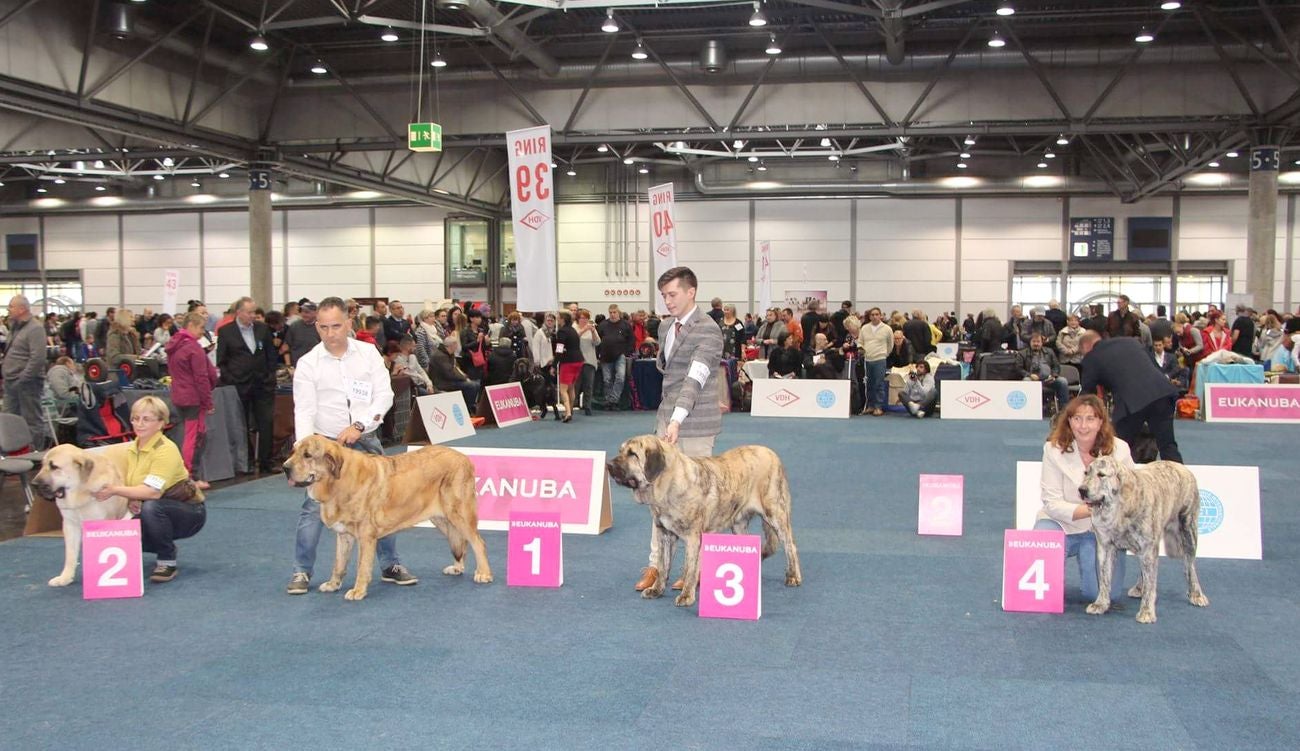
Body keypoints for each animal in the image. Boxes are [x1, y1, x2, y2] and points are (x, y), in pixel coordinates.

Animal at [31, 444, 132, 584]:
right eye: (42, 465)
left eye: (54, 467)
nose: (34, 484)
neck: (80, 491)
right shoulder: (70, 525)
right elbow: (70, 554)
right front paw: (65, 577)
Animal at [284, 436, 491, 600]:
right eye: (293, 451)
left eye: (307, 455)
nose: (285, 467)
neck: (336, 482)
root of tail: (464, 457)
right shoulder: (344, 535)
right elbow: (339, 564)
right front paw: (333, 584)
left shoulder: (366, 536)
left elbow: (362, 567)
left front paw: (358, 591)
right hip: (442, 519)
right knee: (461, 543)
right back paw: (457, 568)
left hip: (458, 513)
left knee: (478, 542)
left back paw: (484, 573)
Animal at [608, 436, 800, 605]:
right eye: (621, 451)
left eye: (633, 454)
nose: (609, 465)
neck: (667, 483)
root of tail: (772, 454)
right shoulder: (665, 534)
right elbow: (663, 566)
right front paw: (657, 590)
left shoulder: (693, 537)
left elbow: (691, 568)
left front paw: (686, 595)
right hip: (738, 523)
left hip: (775, 513)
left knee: (790, 546)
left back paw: (793, 576)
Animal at [1076, 452, 1206, 623]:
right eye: (1086, 473)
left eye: (1101, 475)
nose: (1082, 490)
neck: (1119, 508)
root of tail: (1181, 467)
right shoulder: (1105, 547)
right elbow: (1104, 579)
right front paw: (1101, 604)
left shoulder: (1148, 548)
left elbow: (1151, 584)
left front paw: (1146, 612)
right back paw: (1139, 588)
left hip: (1188, 529)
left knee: (1189, 565)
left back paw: (1196, 594)